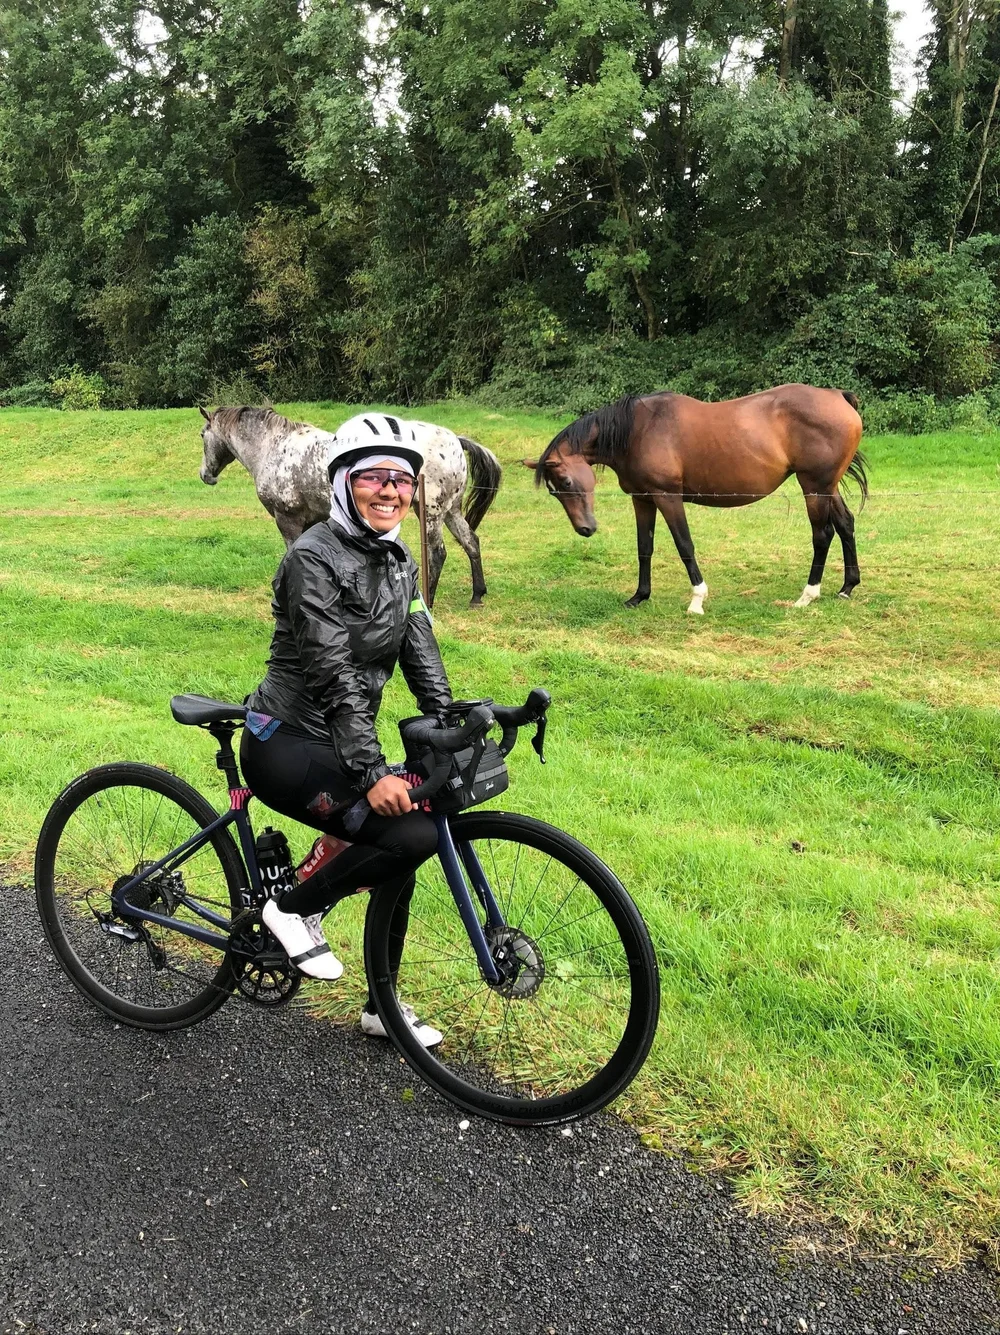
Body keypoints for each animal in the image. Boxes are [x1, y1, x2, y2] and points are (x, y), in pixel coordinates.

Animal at [198, 406, 502, 606]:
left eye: (202, 435)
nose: (205, 475)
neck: (274, 449)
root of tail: (454, 440)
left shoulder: (287, 519)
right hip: (451, 511)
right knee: (471, 542)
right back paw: (477, 595)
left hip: (430, 512)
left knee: (437, 554)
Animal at [524, 384, 867, 613]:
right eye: (554, 490)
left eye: (566, 481)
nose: (586, 529)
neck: (636, 430)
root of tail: (837, 397)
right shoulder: (642, 499)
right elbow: (644, 547)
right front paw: (639, 596)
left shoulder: (667, 497)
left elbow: (684, 545)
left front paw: (697, 600)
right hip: (828, 487)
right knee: (846, 525)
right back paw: (847, 587)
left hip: (814, 487)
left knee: (823, 534)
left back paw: (807, 595)